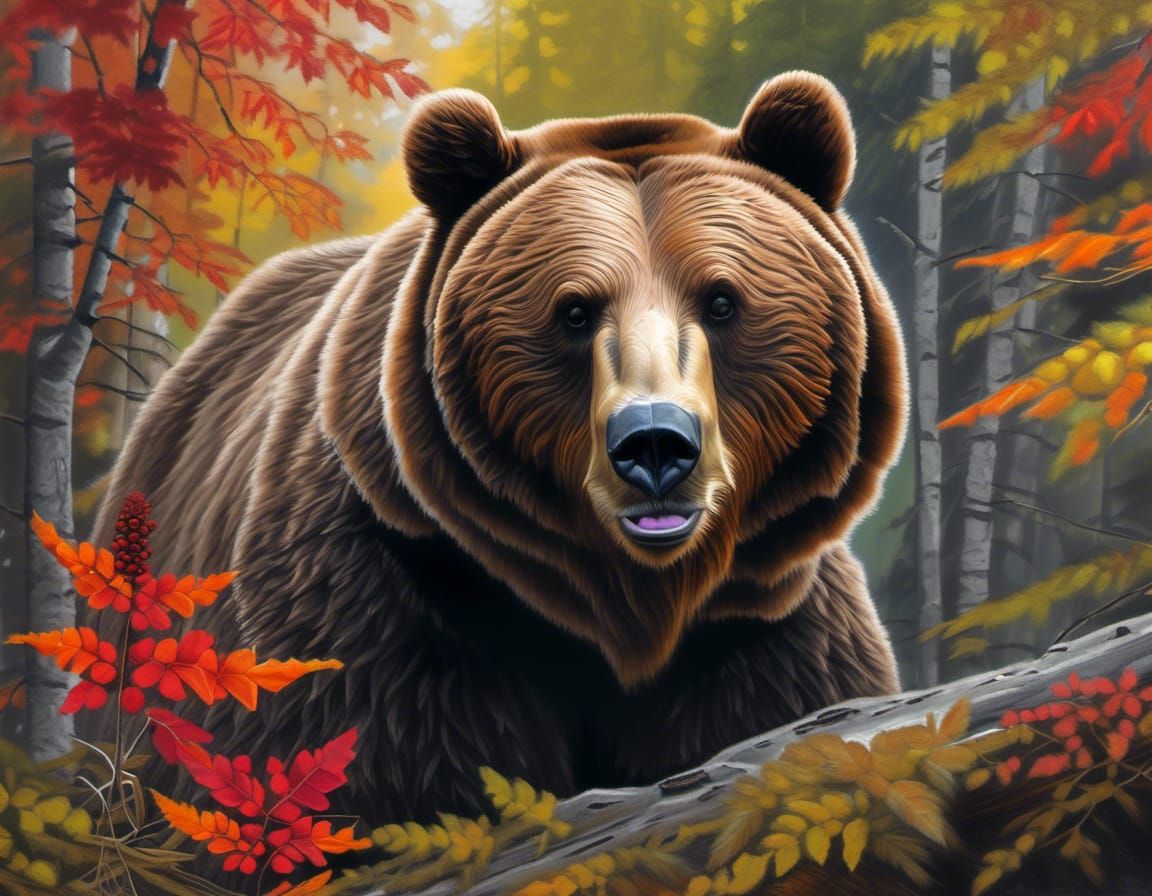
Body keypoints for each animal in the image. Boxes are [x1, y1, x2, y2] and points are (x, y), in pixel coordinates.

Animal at [94, 71, 907, 826]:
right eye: (574, 310)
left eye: (722, 300)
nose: (654, 443)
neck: (630, 610)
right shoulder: (382, 604)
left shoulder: (761, 629)